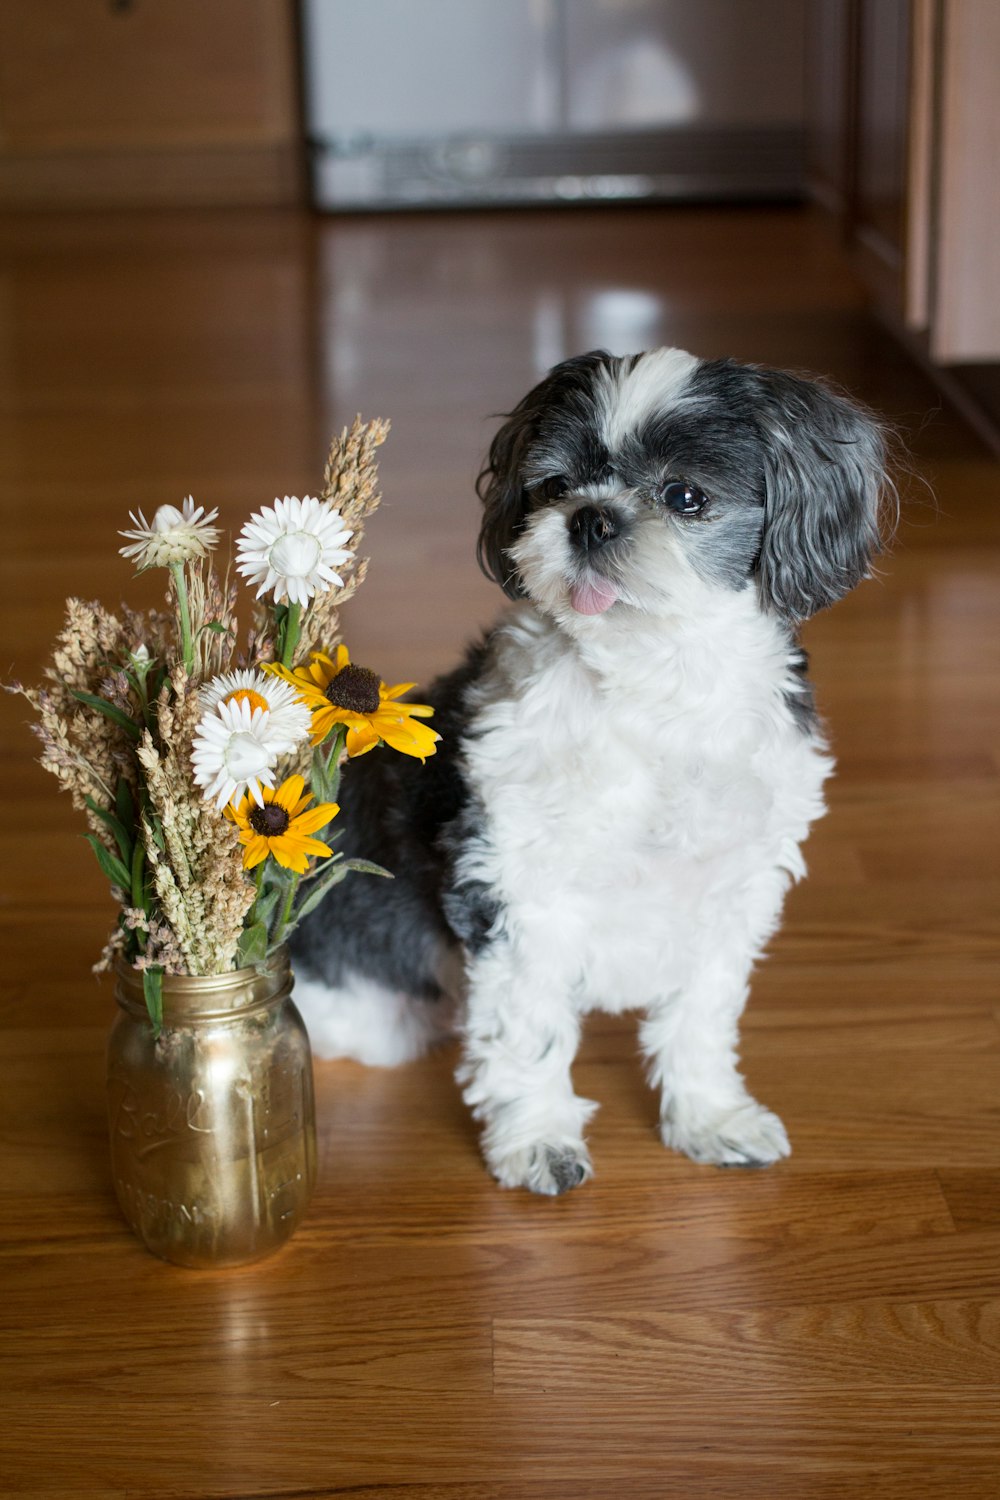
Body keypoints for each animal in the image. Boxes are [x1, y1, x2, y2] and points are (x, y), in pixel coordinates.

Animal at [290, 343, 893, 1194]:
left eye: (685, 497)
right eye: (552, 487)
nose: (591, 515)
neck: (657, 681)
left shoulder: (731, 895)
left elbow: (701, 1021)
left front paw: (709, 1118)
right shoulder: (518, 893)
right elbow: (530, 1031)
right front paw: (537, 1138)